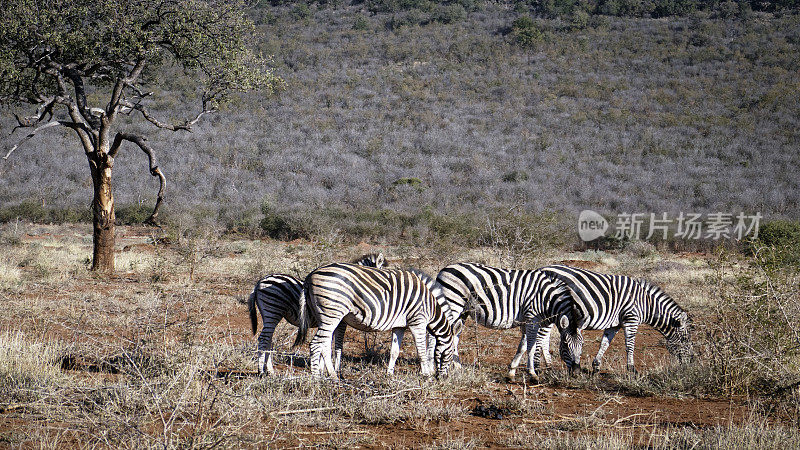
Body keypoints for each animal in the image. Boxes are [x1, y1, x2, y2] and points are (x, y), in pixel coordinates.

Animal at [250, 253, 388, 372]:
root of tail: (259, 283)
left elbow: (326, 343)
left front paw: (322, 369)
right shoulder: (340, 322)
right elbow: (337, 345)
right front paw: (333, 370)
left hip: (269, 314)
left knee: (268, 339)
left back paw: (270, 370)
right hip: (272, 311)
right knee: (264, 338)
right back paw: (262, 370)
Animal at [296, 264, 460, 380]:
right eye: (450, 353)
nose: (443, 378)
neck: (430, 306)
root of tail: (310, 275)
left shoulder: (399, 326)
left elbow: (394, 351)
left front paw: (389, 374)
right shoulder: (417, 322)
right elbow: (421, 351)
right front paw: (426, 375)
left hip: (325, 317)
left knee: (324, 344)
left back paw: (330, 375)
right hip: (332, 313)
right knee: (316, 344)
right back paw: (318, 378)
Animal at [434, 262, 580, 382]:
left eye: (581, 345)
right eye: (565, 344)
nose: (576, 372)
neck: (545, 299)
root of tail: (444, 269)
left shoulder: (526, 321)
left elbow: (522, 347)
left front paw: (511, 373)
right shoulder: (532, 319)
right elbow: (531, 347)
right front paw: (533, 374)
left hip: (462, 312)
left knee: (454, 338)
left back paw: (458, 368)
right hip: (452, 304)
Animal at [536, 266, 692, 374]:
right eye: (685, 340)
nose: (690, 363)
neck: (646, 303)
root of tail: (542, 269)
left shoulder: (615, 324)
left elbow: (605, 343)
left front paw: (596, 366)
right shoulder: (631, 319)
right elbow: (630, 345)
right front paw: (632, 369)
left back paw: (548, 365)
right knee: (542, 336)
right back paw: (544, 366)